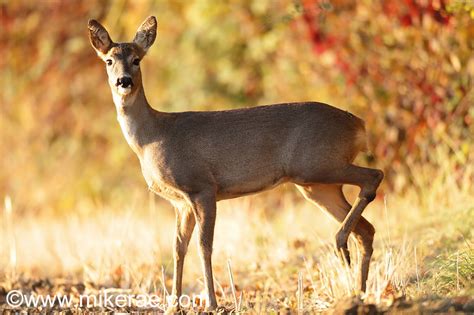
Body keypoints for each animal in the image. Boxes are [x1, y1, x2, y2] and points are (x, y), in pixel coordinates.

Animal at [88, 16, 386, 312]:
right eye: (109, 61)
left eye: (137, 59)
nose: (124, 81)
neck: (152, 137)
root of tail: (359, 125)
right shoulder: (180, 202)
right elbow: (177, 248)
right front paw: (174, 304)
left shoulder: (202, 186)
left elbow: (204, 246)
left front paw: (211, 302)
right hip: (316, 185)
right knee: (367, 229)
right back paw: (358, 292)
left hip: (318, 163)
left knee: (374, 176)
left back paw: (340, 244)